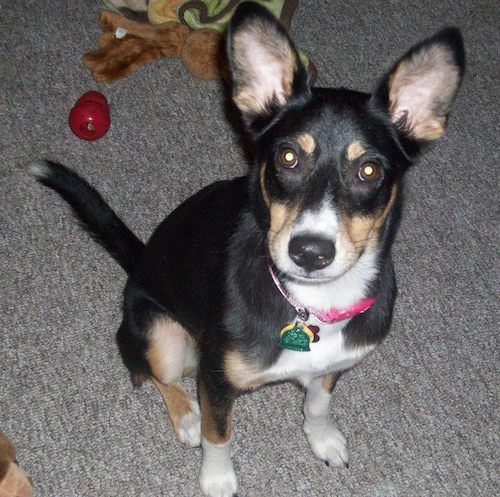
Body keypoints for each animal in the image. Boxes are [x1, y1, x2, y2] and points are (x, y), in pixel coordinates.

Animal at [32, 1, 464, 494]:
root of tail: (138, 262)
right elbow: (218, 433)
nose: (309, 252)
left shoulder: (331, 369)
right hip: (163, 335)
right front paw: (217, 478)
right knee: (154, 374)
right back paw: (185, 417)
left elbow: (317, 404)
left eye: (370, 171)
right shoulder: (216, 378)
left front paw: (322, 439)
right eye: (288, 157)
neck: (311, 305)